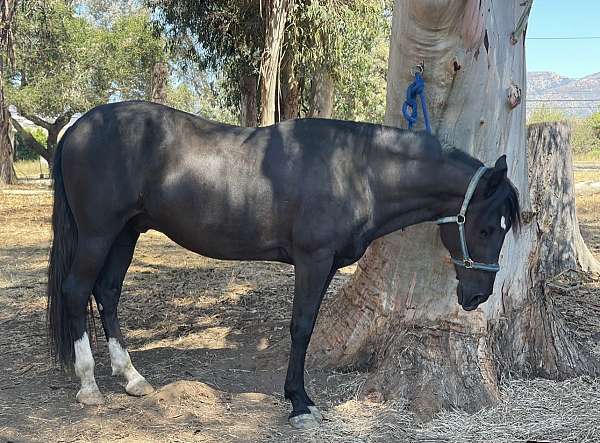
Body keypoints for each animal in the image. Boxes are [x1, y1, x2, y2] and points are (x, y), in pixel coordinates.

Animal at [47, 101, 516, 430]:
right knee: (75, 290)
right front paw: (300, 403)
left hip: (126, 233)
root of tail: (79, 124)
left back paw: (131, 377)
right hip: (98, 233)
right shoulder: (312, 259)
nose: (478, 295)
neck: (356, 170)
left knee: (107, 292)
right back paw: (89, 386)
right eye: (487, 227)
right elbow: (301, 326)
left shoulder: (327, 263)